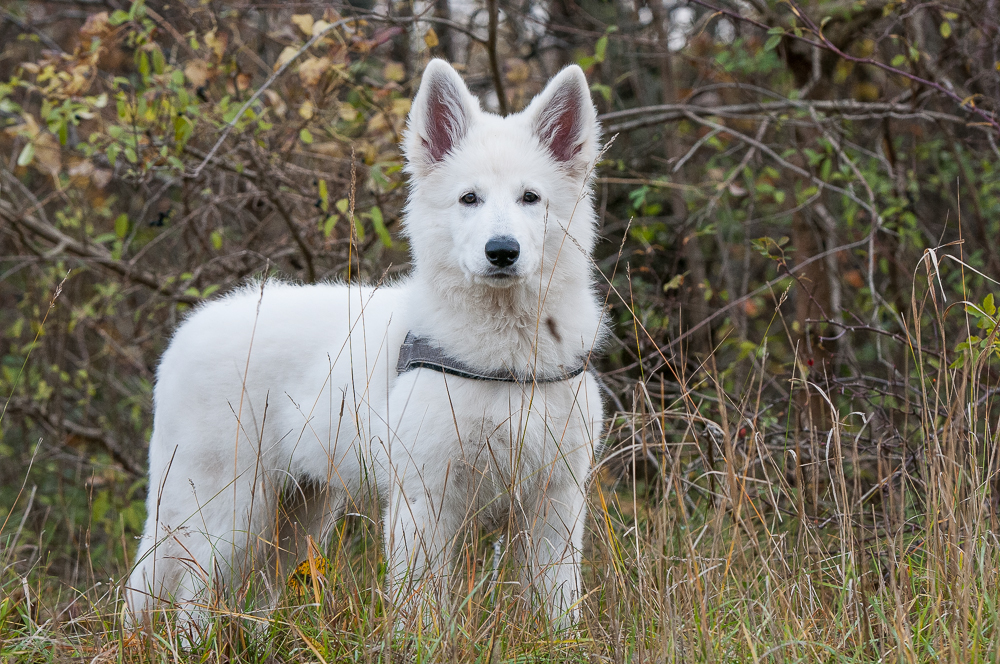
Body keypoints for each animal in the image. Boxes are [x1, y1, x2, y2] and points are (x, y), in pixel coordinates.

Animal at [128, 59, 604, 632]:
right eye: (469, 199)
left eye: (530, 198)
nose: (502, 252)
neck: (505, 358)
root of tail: (187, 332)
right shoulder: (423, 498)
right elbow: (420, 609)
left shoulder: (557, 504)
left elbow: (559, 608)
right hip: (228, 513)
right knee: (191, 602)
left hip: (295, 517)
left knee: (250, 598)